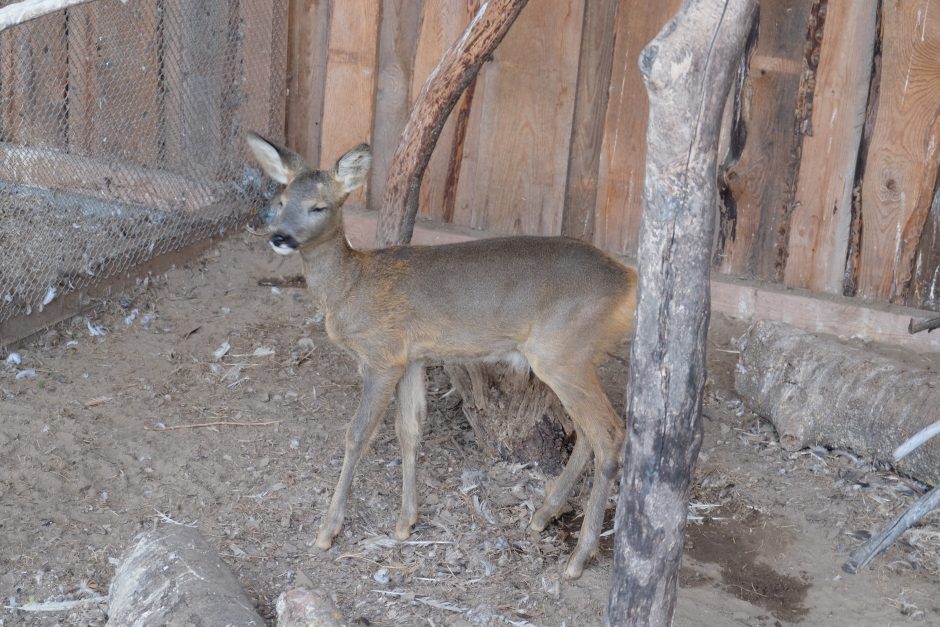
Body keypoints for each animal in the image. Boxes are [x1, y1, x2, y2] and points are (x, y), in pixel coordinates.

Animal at [246, 132, 636, 580]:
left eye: (319, 206)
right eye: (281, 200)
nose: (279, 236)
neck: (351, 286)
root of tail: (628, 281)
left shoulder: (382, 355)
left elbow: (357, 435)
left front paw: (328, 530)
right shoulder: (412, 356)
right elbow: (409, 430)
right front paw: (405, 522)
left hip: (562, 352)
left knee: (609, 433)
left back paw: (578, 556)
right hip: (576, 357)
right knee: (590, 433)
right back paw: (543, 514)